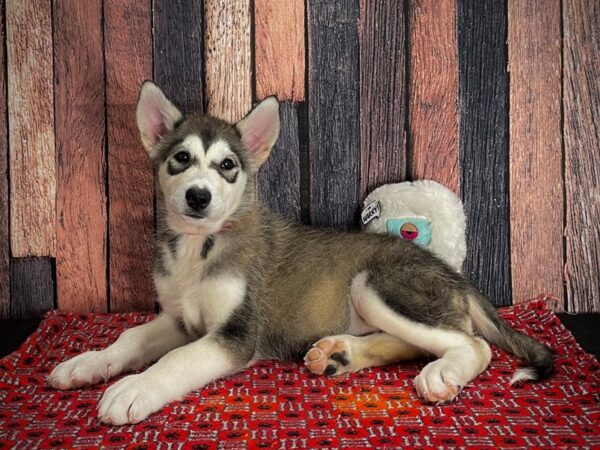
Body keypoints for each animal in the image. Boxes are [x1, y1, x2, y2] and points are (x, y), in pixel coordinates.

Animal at [47, 81, 552, 426]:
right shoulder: (177, 318)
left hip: (376, 283)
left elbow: (176, 360)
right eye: (181, 160)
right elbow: (129, 338)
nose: (198, 197)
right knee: (422, 341)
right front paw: (86, 363)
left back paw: (441, 374)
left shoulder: (235, 336)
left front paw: (133, 389)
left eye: (227, 166)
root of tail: (456, 276)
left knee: (473, 344)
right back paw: (340, 354)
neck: (199, 247)